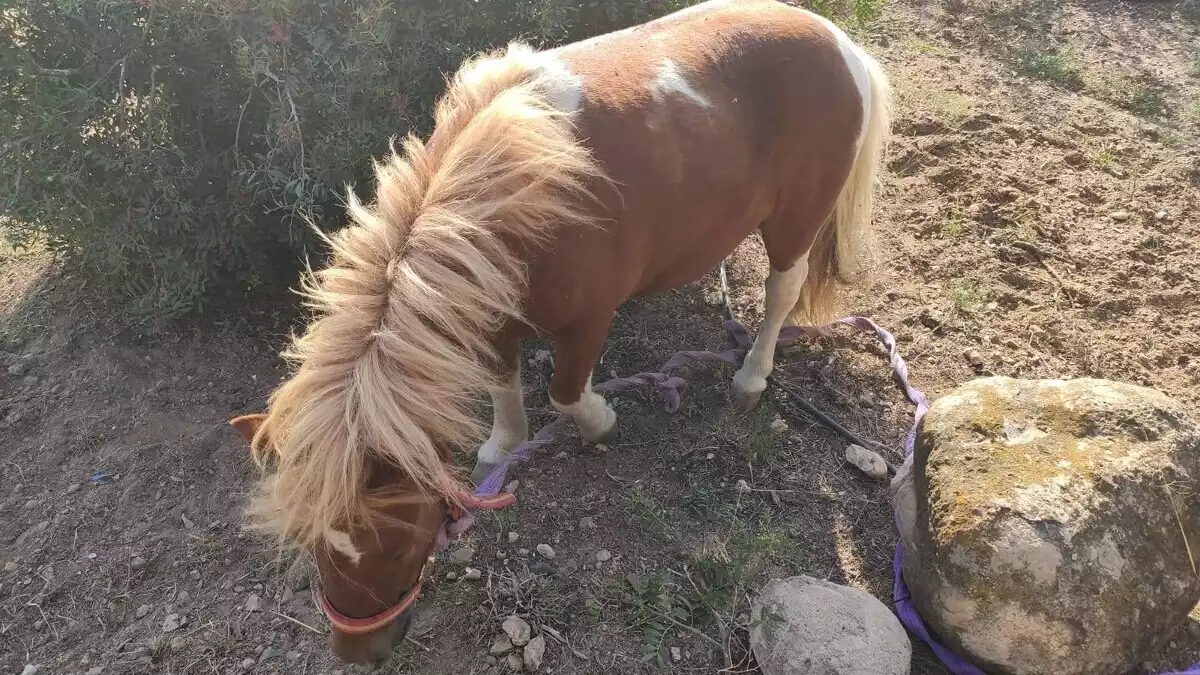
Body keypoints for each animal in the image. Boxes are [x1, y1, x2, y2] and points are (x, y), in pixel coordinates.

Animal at [231, 0, 892, 662]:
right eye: (312, 542)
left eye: (391, 541)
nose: (358, 653)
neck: (510, 200)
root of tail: (836, 39)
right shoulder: (493, 315)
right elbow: (502, 384)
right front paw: (504, 447)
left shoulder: (588, 320)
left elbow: (567, 392)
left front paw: (600, 423)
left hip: (796, 220)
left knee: (782, 291)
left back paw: (752, 377)